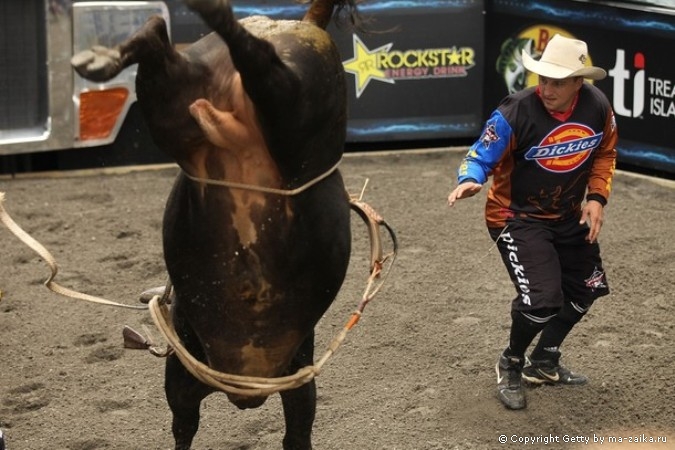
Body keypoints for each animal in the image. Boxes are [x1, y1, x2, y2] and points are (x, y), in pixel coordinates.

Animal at [69, 0, 390, 450]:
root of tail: (294, 25)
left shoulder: (279, 385)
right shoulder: (213, 387)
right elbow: (190, 429)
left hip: (215, 103)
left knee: (180, 42)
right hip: (281, 108)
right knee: (246, 58)